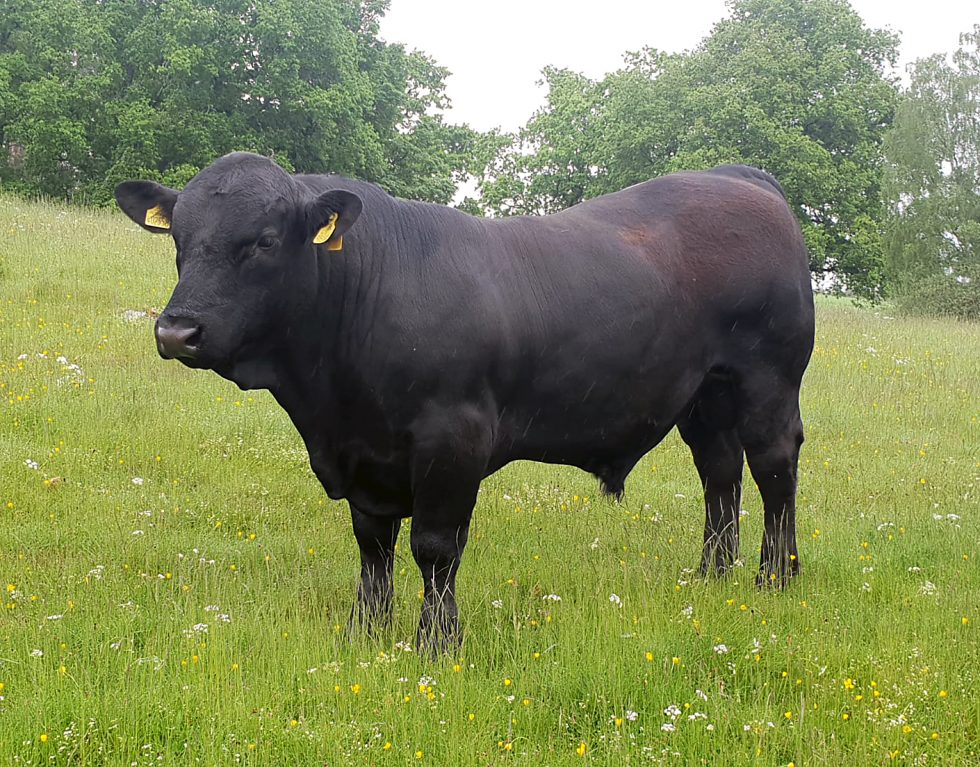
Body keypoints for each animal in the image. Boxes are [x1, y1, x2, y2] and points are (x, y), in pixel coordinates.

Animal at [116, 152, 815, 652]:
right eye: (178, 238)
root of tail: (737, 176)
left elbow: (435, 546)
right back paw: (712, 576)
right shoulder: (364, 454)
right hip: (705, 396)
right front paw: (366, 630)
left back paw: (775, 577)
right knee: (719, 473)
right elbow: (372, 545)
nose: (176, 331)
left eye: (262, 240)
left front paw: (437, 641)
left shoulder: (452, 438)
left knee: (774, 468)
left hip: (768, 380)